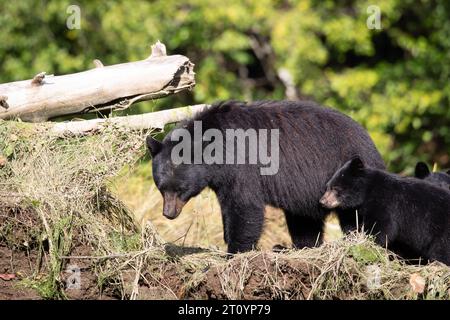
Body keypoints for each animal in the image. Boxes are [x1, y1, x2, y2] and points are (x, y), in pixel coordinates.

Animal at [146, 100, 384, 252]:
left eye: (180, 189)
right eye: (161, 187)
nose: (168, 213)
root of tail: (369, 140)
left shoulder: (241, 164)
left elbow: (245, 206)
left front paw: (235, 250)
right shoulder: (222, 178)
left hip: (347, 178)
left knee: (354, 216)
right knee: (304, 221)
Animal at [320, 157, 450, 264]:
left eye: (336, 188)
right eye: (327, 187)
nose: (322, 201)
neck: (369, 190)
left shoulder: (386, 203)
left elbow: (383, 227)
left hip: (441, 232)